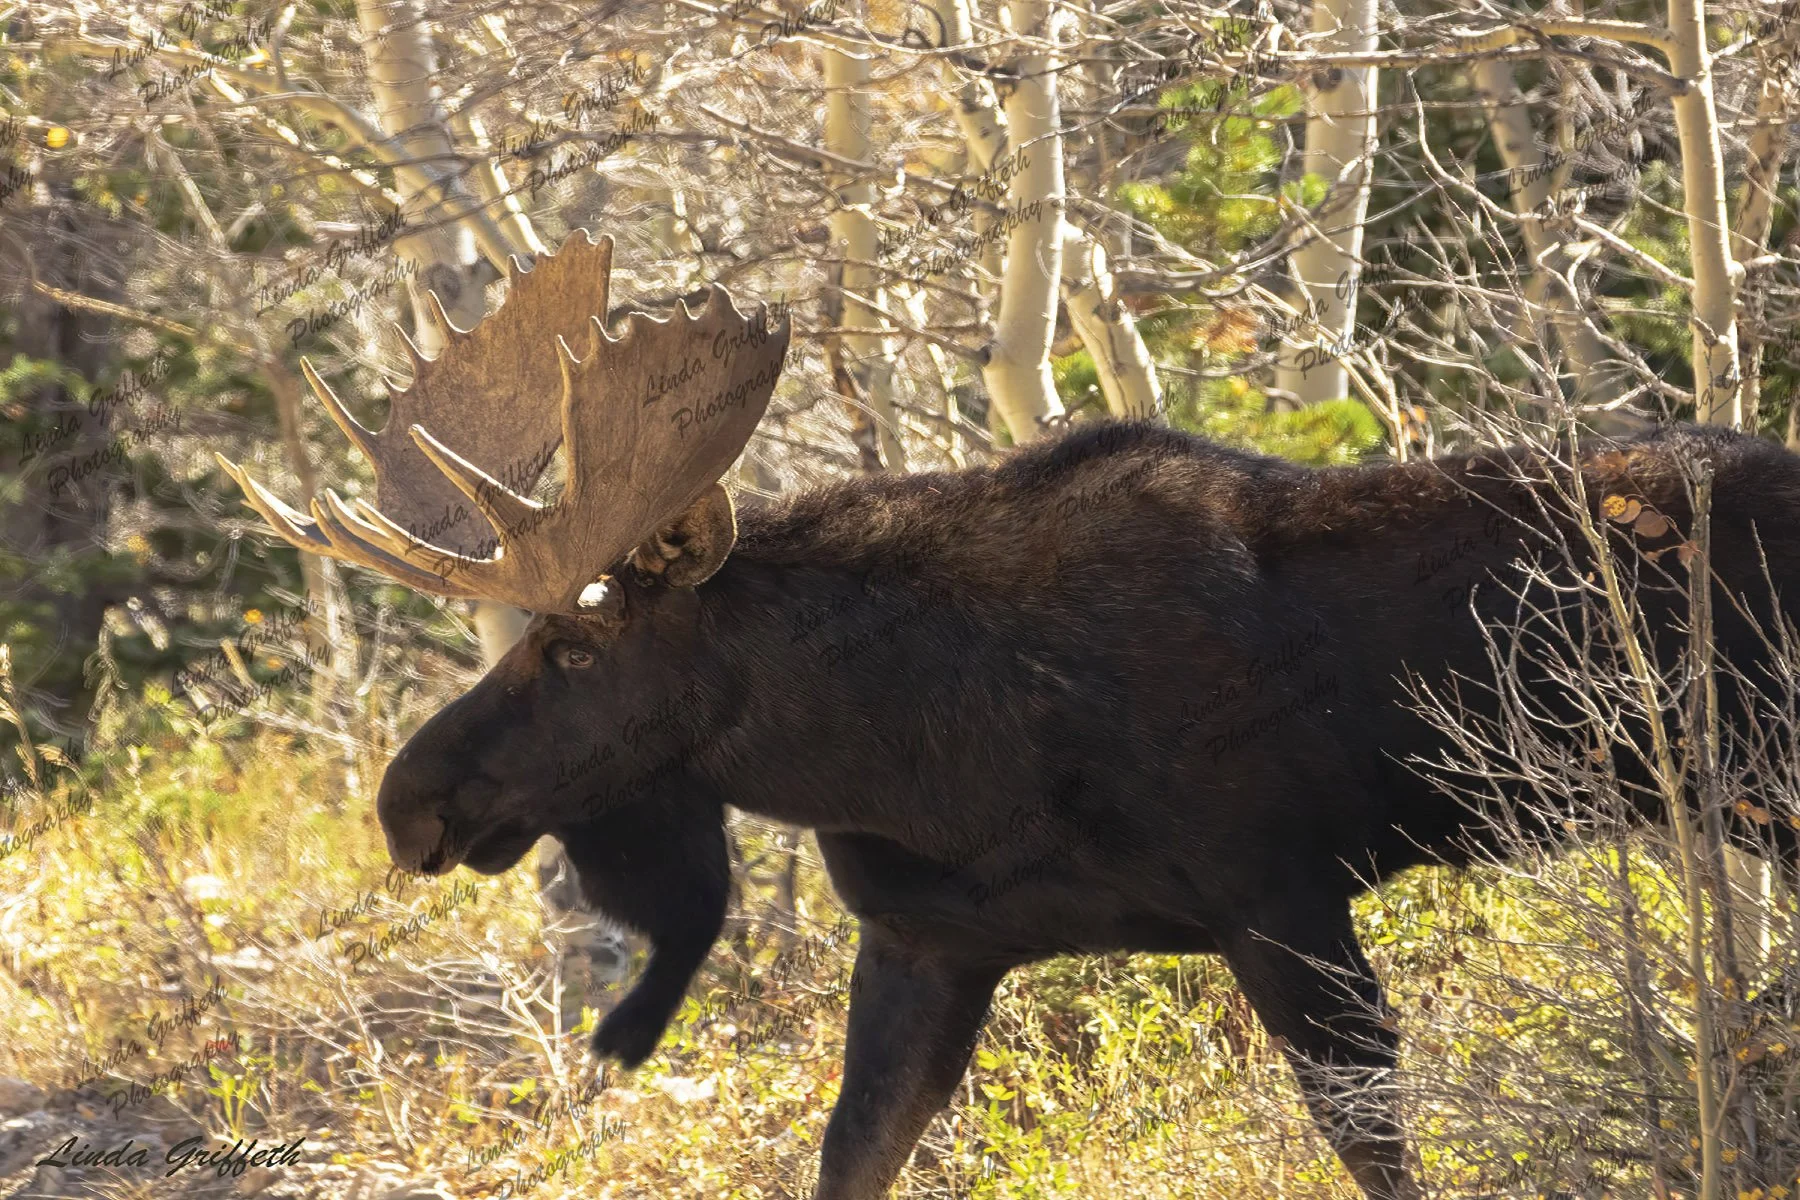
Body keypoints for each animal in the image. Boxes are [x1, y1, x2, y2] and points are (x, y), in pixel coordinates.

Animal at [217, 228, 1800, 1200]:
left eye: (567, 645)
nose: (408, 800)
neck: (911, 753)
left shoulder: (1283, 897)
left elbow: (1379, 1155)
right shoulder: (927, 940)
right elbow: (848, 1155)